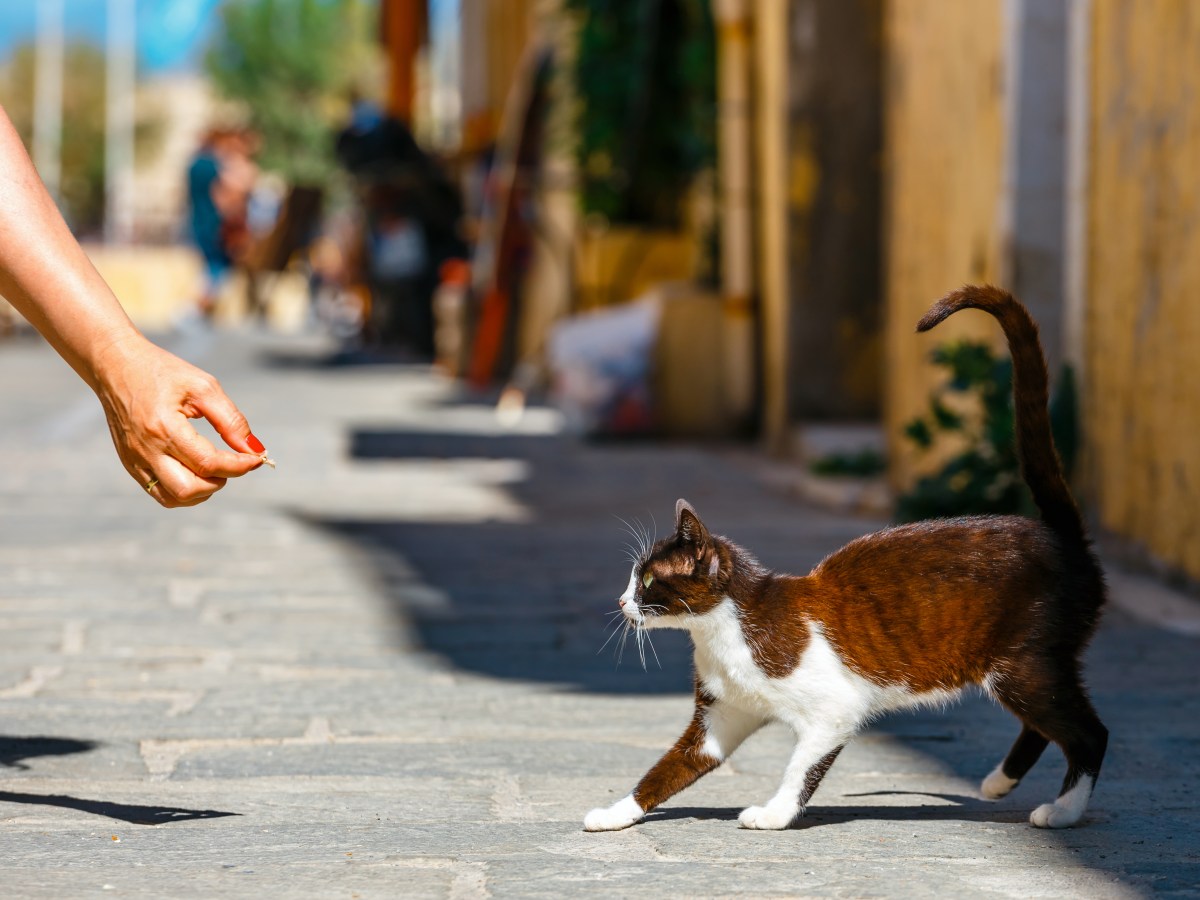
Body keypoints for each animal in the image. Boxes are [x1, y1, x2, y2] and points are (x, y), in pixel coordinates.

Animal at [580, 285, 1104, 835]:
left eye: (647, 581)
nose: (620, 602)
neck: (721, 634)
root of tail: (1058, 533)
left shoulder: (833, 711)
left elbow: (800, 767)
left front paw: (773, 814)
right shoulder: (721, 717)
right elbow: (665, 769)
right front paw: (616, 813)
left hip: (1022, 662)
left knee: (1089, 732)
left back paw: (1064, 810)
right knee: (1046, 724)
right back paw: (1000, 783)